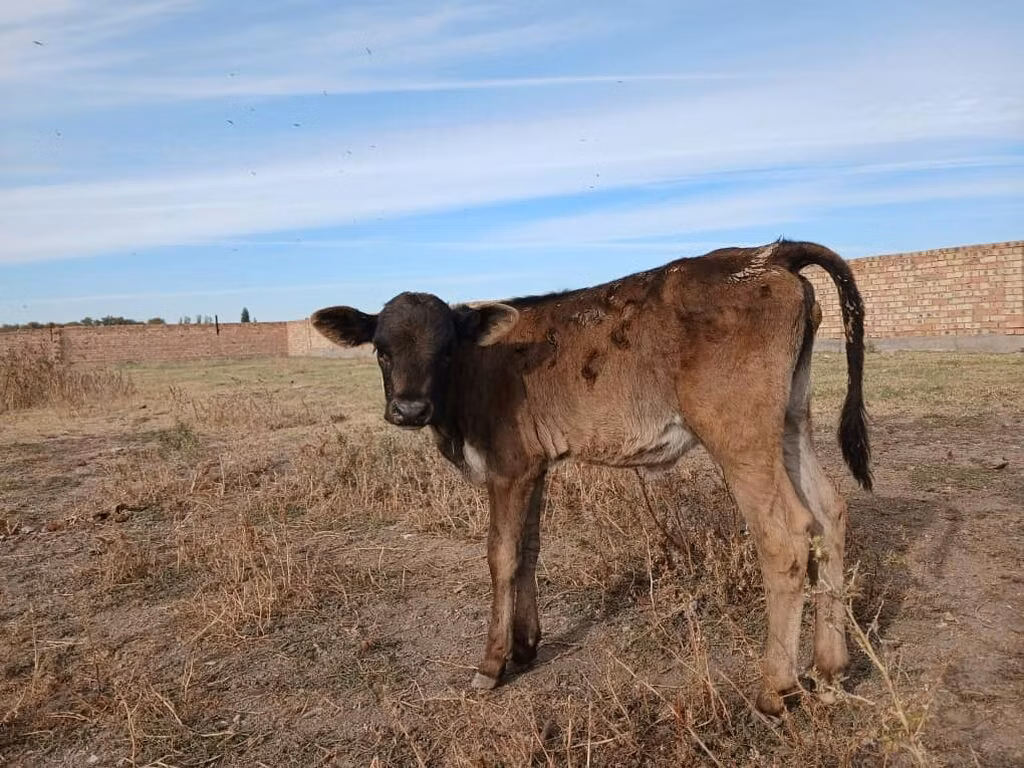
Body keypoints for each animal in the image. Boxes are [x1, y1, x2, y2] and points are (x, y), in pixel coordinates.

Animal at [311, 240, 871, 716]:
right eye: (381, 349)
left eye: (445, 350)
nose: (409, 409)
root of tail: (769, 252)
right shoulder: (534, 466)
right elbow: (530, 548)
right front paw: (525, 645)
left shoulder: (508, 465)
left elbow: (501, 555)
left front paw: (492, 664)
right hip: (791, 420)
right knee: (829, 513)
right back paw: (829, 670)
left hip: (739, 433)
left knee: (786, 535)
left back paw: (775, 689)